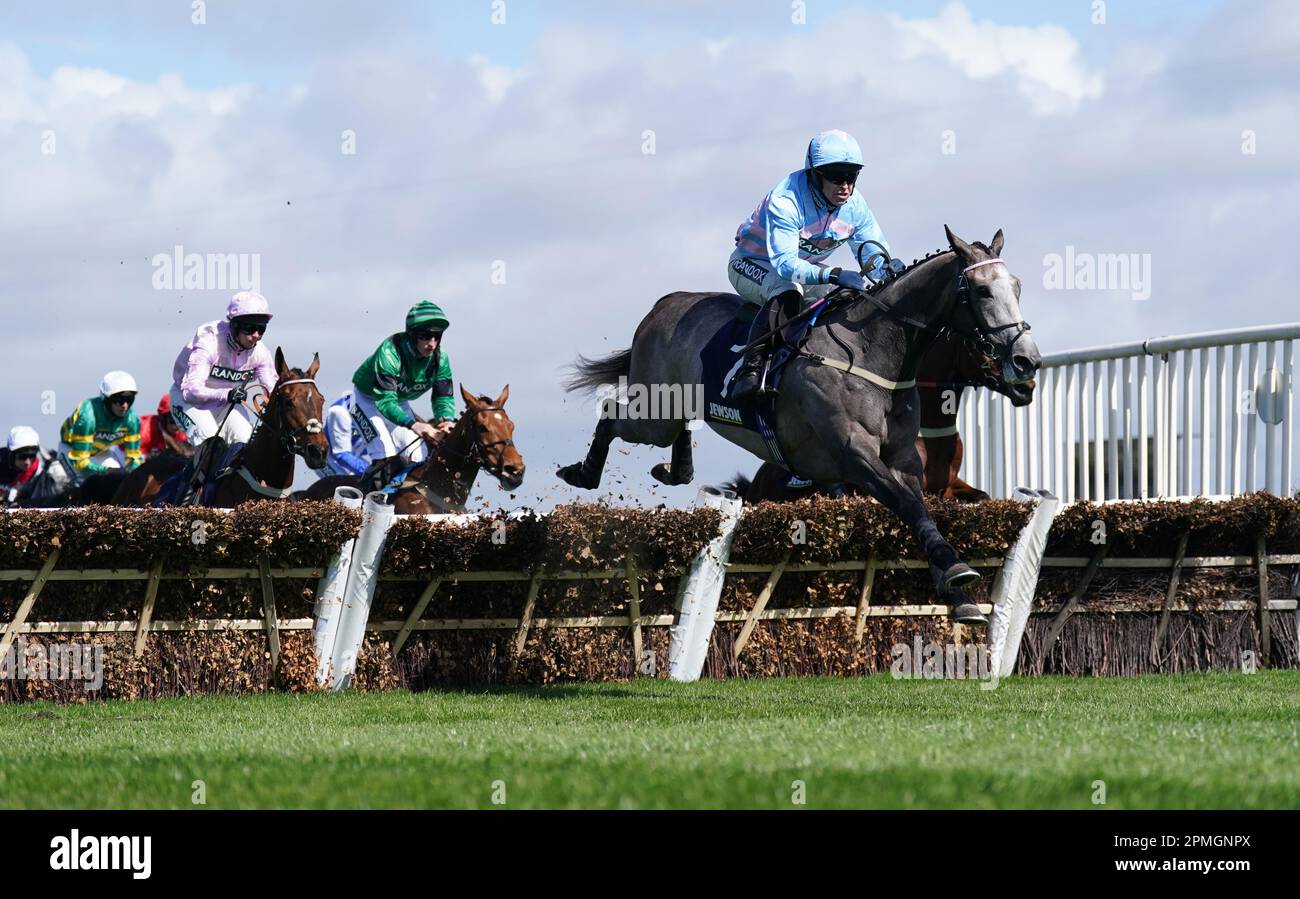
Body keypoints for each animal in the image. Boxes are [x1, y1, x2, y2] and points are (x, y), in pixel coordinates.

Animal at [553, 224, 1040, 626]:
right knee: (612, 415)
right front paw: (957, 573)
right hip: (654, 412)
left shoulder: (903, 460)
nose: (1027, 363)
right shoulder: (854, 456)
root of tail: (664, 304)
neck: (872, 351)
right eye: (981, 291)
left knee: (673, 434)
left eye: (1017, 286)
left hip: (672, 411)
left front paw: (959, 597)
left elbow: (921, 509)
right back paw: (583, 472)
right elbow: (909, 506)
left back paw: (676, 470)